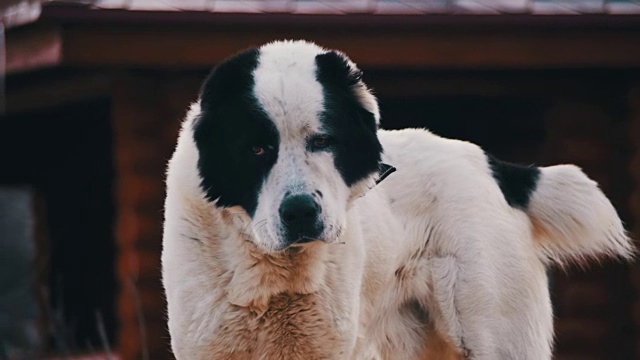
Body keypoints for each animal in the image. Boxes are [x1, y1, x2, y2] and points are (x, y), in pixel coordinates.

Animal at [162, 40, 632, 360]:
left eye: (324, 140)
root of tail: (491, 166)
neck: (272, 271)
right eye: (257, 150)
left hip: (495, 333)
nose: (301, 213)